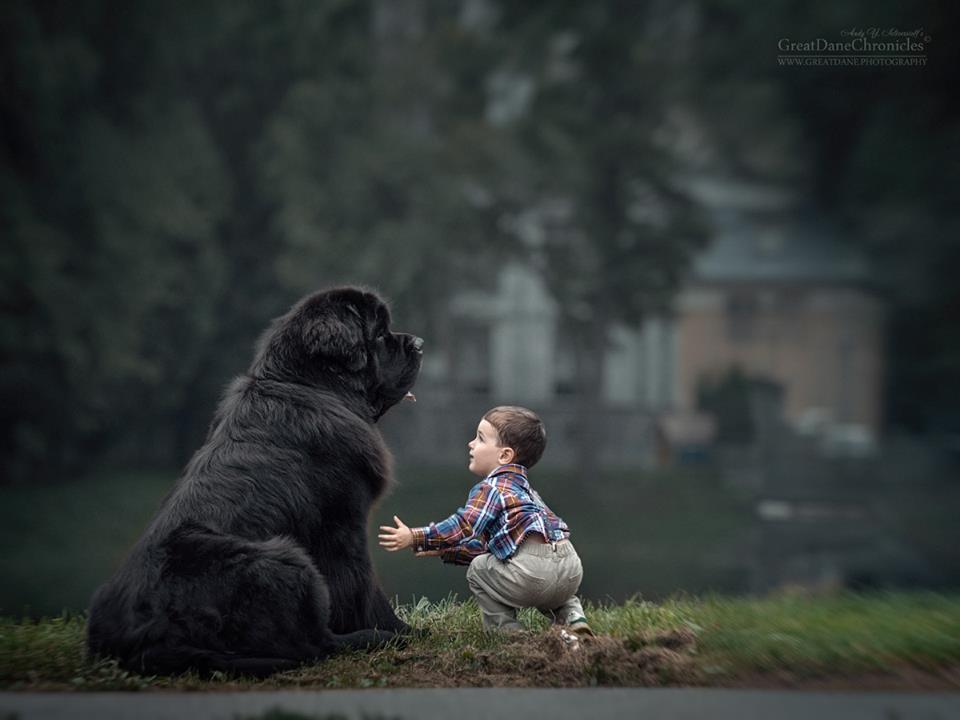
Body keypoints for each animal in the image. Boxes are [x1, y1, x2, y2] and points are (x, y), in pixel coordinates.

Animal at [84, 286, 422, 676]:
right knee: (314, 644)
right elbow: (362, 585)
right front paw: (402, 630)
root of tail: (140, 638)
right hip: (282, 560)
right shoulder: (342, 525)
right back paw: (373, 638)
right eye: (380, 334)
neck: (311, 385)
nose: (420, 343)